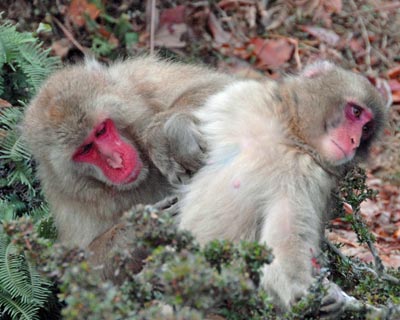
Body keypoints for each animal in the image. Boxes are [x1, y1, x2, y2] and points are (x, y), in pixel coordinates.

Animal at [179, 61, 388, 316]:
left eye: (366, 129)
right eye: (356, 112)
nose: (354, 141)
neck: (291, 140)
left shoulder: (309, 179)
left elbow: (284, 249)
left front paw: (318, 293)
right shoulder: (241, 98)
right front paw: (177, 136)